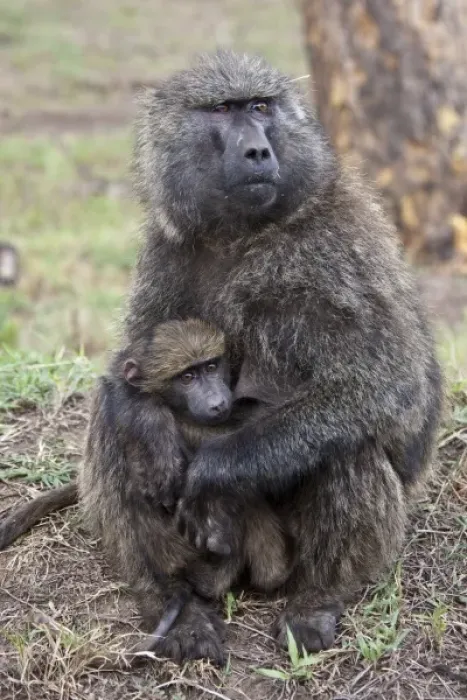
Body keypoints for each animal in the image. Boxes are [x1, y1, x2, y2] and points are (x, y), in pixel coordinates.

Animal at [78, 50, 442, 665]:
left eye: (262, 107)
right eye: (224, 110)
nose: (256, 151)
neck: (242, 233)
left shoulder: (338, 247)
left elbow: (387, 385)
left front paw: (212, 473)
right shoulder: (167, 247)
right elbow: (129, 371)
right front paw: (152, 429)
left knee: (348, 442)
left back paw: (317, 601)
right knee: (110, 427)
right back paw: (172, 604)